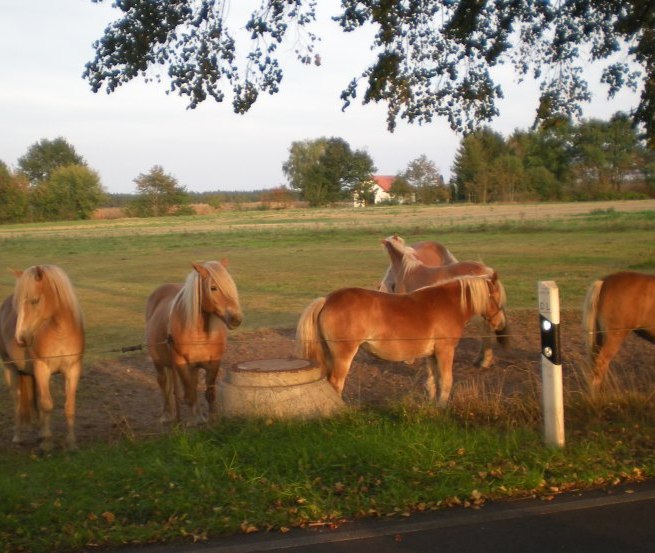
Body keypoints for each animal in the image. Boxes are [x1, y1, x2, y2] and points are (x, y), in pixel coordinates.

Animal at [0, 264, 85, 448]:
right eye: (18, 304)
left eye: (35, 300)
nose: (20, 338)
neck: (60, 334)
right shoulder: (42, 368)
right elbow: (47, 405)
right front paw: (47, 443)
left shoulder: (73, 369)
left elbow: (69, 406)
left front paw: (71, 443)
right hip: (10, 368)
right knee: (17, 400)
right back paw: (18, 436)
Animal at [146, 258, 243, 422]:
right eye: (213, 288)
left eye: (231, 285)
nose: (236, 319)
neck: (199, 334)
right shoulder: (181, 364)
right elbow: (189, 396)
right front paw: (193, 422)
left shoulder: (213, 363)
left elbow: (209, 394)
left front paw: (211, 420)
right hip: (158, 361)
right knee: (163, 383)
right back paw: (166, 415)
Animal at [296, 274, 508, 408]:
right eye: (496, 298)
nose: (500, 325)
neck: (448, 304)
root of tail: (326, 300)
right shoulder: (445, 350)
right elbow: (447, 381)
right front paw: (442, 407)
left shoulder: (432, 355)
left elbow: (434, 381)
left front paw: (433, 406)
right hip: (343, 356)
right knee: (336, 383)